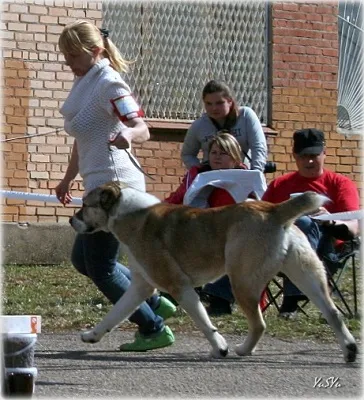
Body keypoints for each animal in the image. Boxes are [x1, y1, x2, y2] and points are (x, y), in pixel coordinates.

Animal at [69, 181, 356, 362]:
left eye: (85, 205)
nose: (71, 220)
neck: (130, 213)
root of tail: (273, 210)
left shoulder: (180, 287)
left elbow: (204, 322)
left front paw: (220, 348)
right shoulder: (140, 287)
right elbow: (114, 314)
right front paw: (92, 335)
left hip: (242, 282)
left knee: (259, 323)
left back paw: (243, 350)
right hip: (308, 276)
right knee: (333, 313)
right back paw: (350, 350)